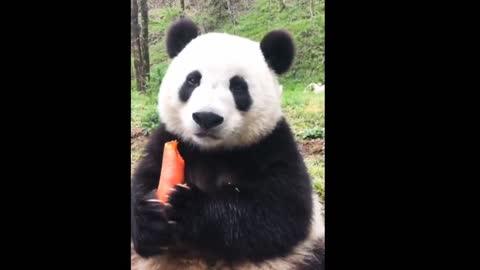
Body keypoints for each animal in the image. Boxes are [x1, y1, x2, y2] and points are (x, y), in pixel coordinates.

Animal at [132, 17, 322, 268]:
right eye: (193, 80)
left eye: (238, 86)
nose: (206, 117)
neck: (212, 151)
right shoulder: (168, 139)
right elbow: (144, 178)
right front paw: (149, 218)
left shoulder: (271, 144)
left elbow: (280, 212)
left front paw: (190, 206)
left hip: (303, 254)